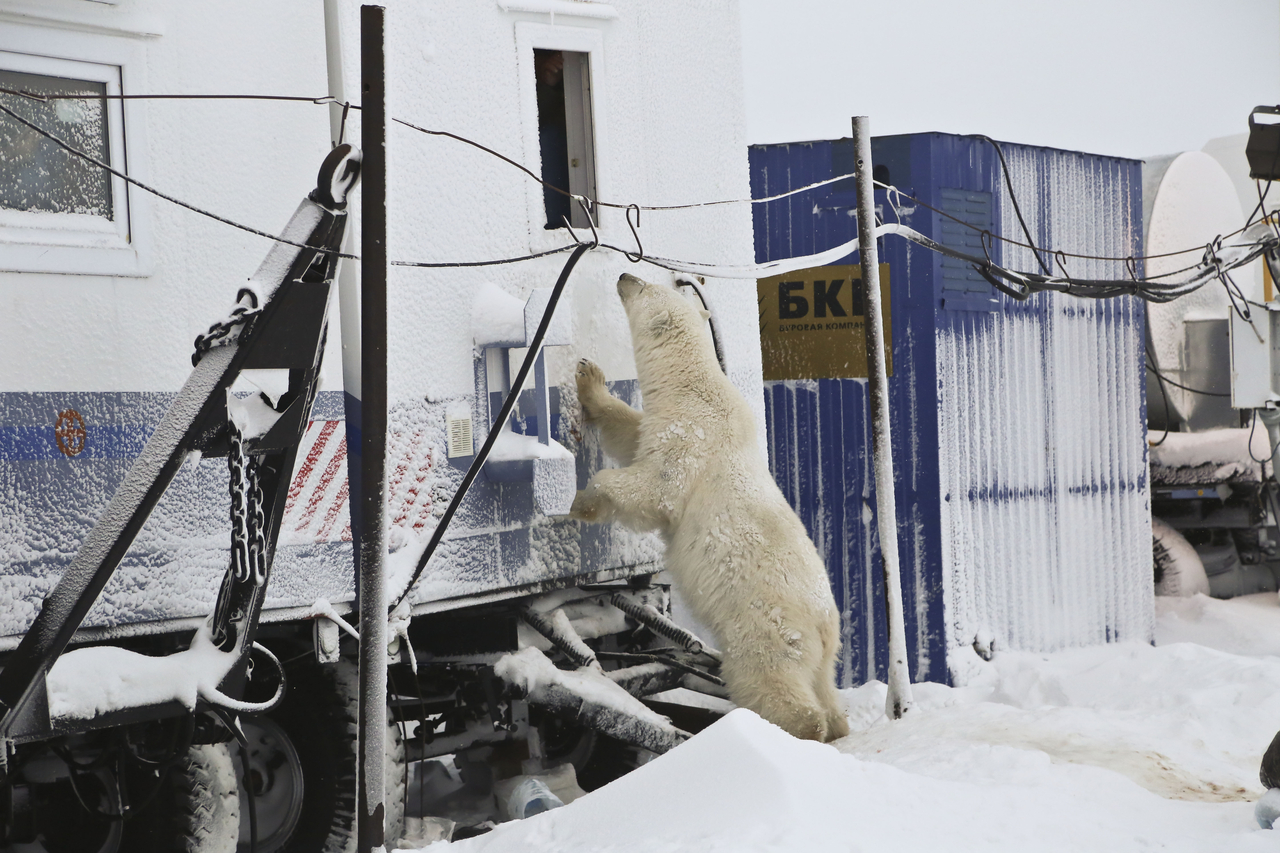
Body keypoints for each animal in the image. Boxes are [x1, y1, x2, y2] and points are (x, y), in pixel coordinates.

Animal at [573, 272, 849, 737]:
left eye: (644, 286)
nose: (624, 274)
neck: (694, 387)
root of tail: (825, 625)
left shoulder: (691, 439)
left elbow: (655, 489)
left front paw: (582, 502)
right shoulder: (663, 422)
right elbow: (629, 434)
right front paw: (588, 379)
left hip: (765, 623)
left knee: (771, 677)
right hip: (818, 652)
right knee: (825, 688)